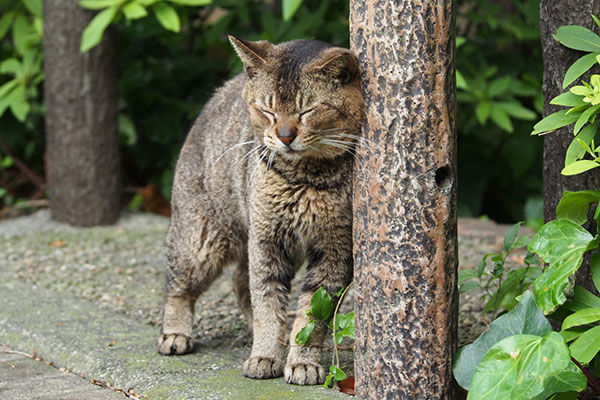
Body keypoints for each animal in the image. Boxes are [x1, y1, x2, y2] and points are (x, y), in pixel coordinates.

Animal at [157, 36, 366, 386]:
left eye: (307, 110)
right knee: (179, 288)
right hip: (200, 241)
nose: (285, 136)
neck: (305, 178)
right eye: (268, 111)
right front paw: (265, 355)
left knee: (240, 282)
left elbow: (312, 315)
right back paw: (175, 334)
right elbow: (268, 301)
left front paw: (301, 361)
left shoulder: (334, 249)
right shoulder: (268, 240)